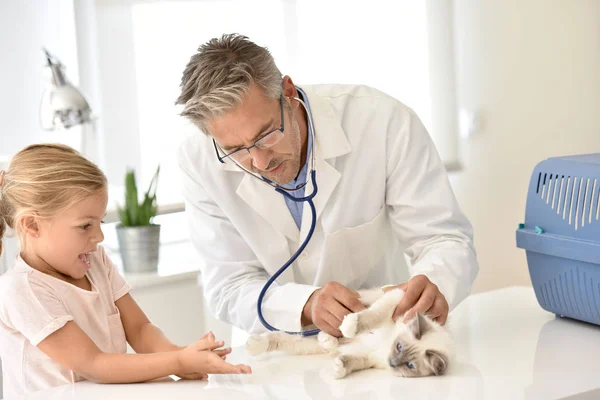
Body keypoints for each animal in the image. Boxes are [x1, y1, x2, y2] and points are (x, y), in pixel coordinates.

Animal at [246, 288, 452, 378]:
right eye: (399, 346)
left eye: (410, 365)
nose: (393, 362)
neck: (386, 346)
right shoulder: (396, 298)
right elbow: (372, 316)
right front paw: (351, 325)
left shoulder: (368, 357)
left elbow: (350, 361)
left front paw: (338, 368)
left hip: (306, 346)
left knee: (283, 339)